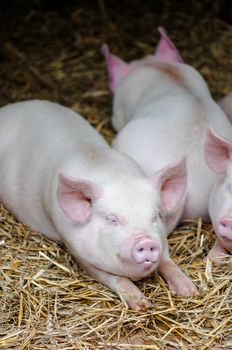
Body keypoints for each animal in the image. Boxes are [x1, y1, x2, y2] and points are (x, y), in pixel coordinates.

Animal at [0, 98, 198, 308]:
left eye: (154, 217)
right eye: (112, 219)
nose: (145, 241)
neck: (110, 172)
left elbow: (167, 260)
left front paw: (190, 291)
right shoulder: (76, 248)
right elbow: (115, 277)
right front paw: (142, 305)